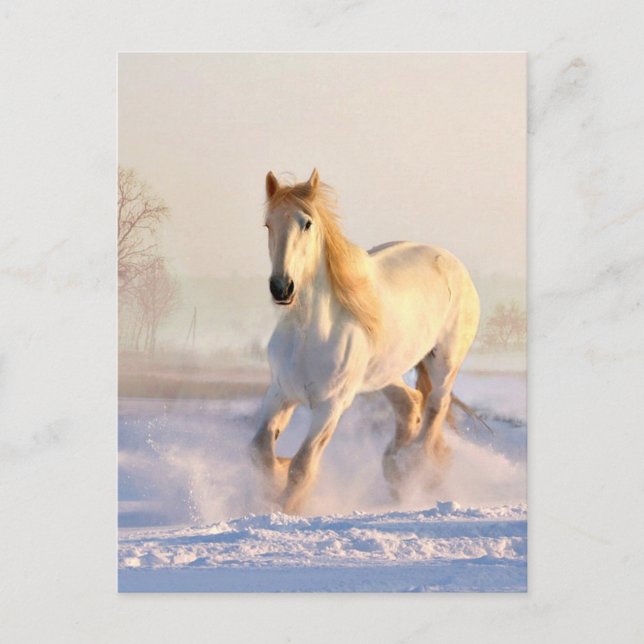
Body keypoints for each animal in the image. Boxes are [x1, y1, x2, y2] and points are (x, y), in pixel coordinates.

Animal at [250, 169, 480, 514]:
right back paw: (395, 468)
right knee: (410, 403)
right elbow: (261, 451)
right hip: (383, 373)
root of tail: (454, 264)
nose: (282, 287)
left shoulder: (331, 405)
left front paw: (287, 507)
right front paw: (276, 478)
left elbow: (302, 466)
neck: (309, 334)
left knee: (435, 408)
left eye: (307, 223)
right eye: (268, 224)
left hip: (444, 363)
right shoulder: (280, 393)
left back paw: (414, 469)